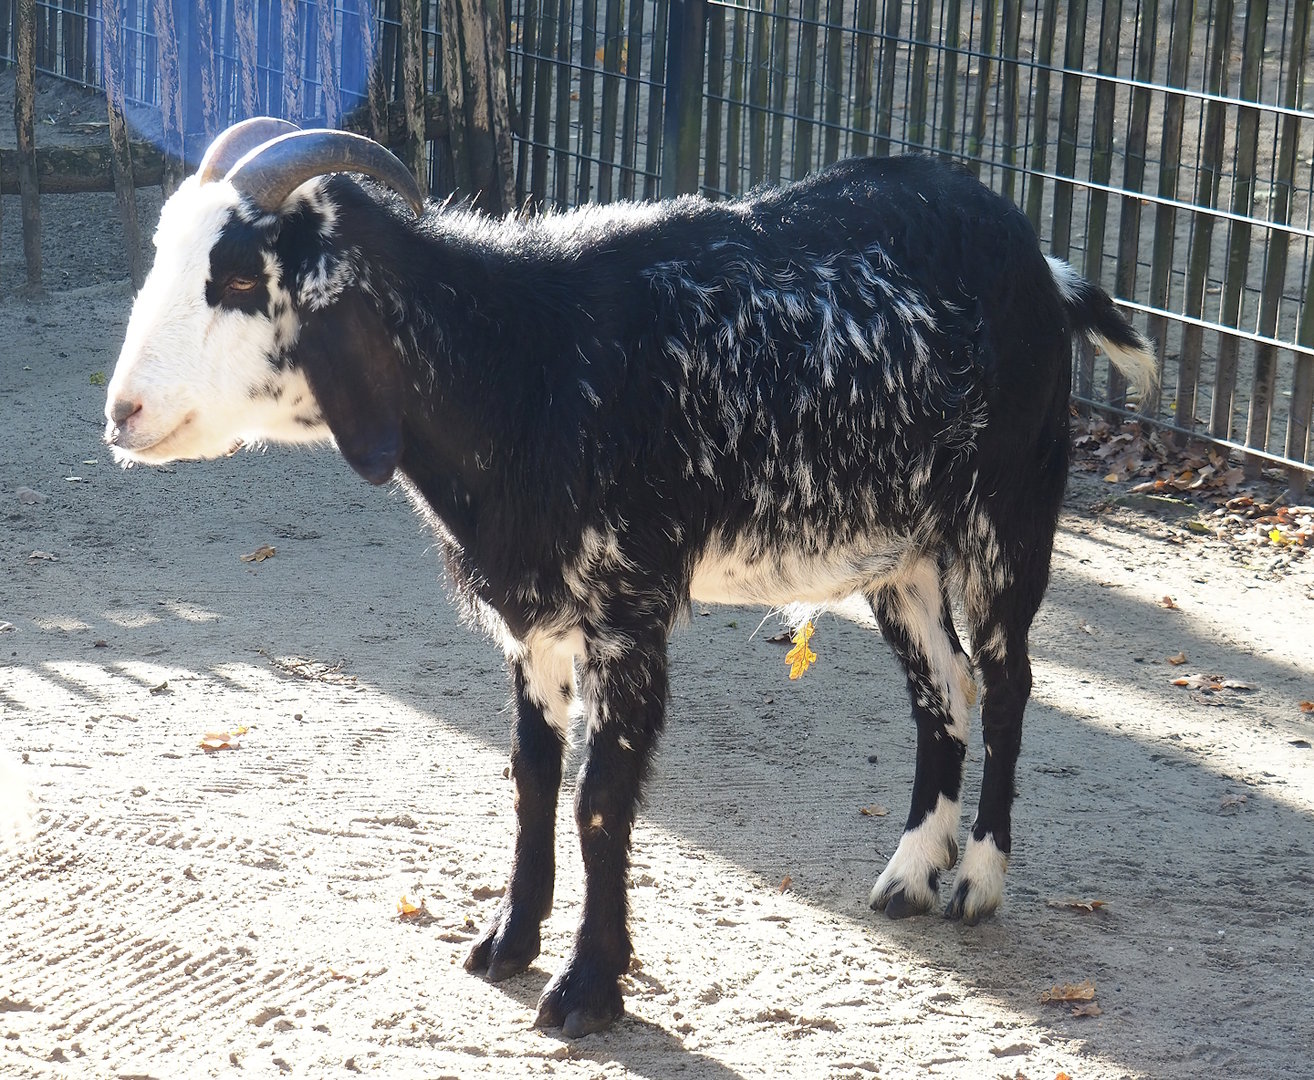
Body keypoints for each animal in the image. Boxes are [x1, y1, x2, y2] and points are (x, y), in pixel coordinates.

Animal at [105, 118, 1156, 1037]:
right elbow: (531, 777)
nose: (123, 412)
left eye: (241, 275)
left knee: (1008, 683)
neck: (527, 363)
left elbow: (599, 797)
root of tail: (1042, 263)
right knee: (944, 687)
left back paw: (976, 881)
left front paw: (587, 989)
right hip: (898, 552)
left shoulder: (630, 612)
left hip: (1009, 513)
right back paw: (909, 874)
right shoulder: (533, 619)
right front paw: (507, 942)